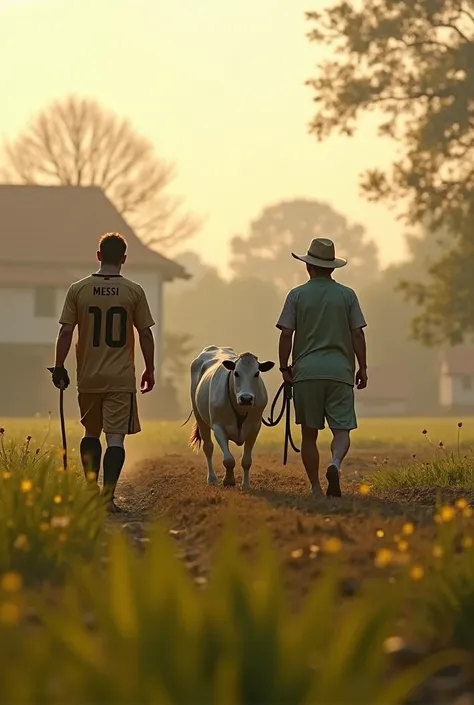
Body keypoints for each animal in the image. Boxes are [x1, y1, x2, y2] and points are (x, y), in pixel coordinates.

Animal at [191, 346, 276, 490]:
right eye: (236, 373)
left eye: (256, 373)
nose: (246, 398)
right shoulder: (218, 426)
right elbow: (228, 459)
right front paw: (229, 480)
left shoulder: (255, 427)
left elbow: (246, 460)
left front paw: (245, 485)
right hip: (200, 417)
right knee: (208, 447)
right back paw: (211, 478)